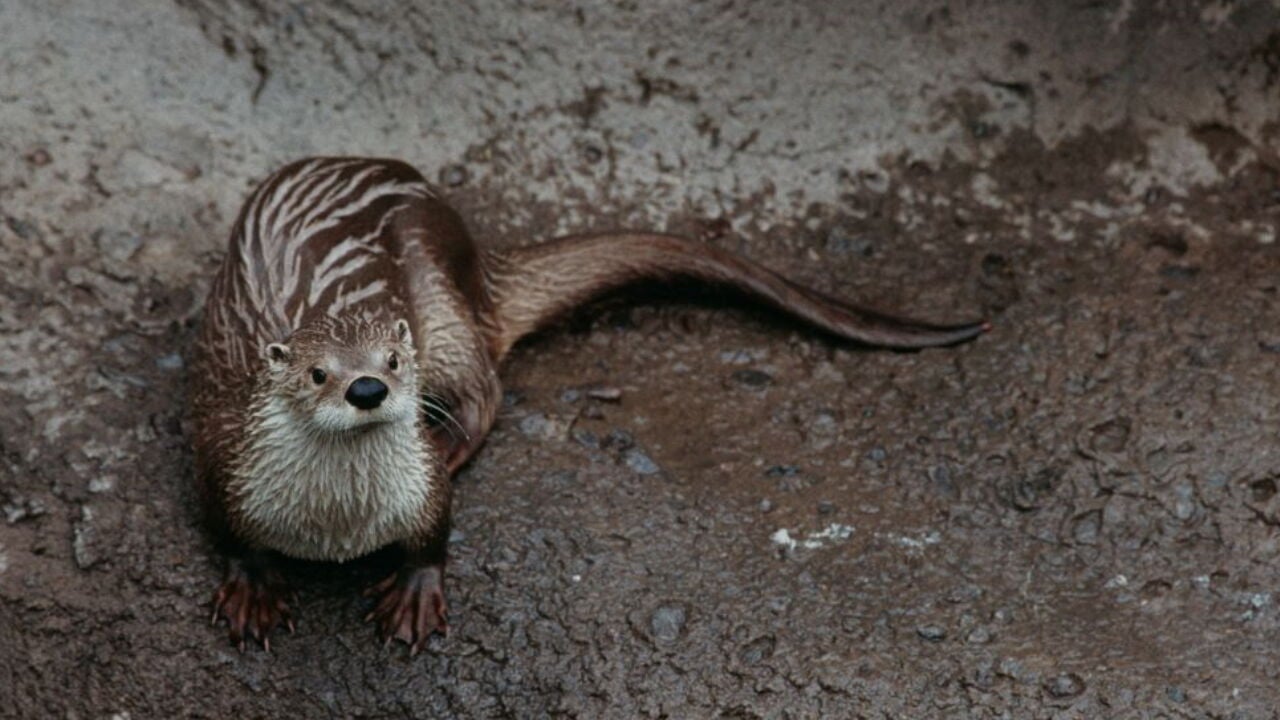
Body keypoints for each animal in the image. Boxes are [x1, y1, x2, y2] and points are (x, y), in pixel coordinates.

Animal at [191, 157, 987, 653]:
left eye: (389, 360)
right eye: (319, 372)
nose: (367, 389)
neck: (337, 525)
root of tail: (471, 248)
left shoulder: (418, 487)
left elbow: (435, 532)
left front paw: (415, 594)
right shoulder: (224, 459)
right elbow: (230, 533)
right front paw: (253, 588)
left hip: (438, 300)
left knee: (486, 389)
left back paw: (455, 440)